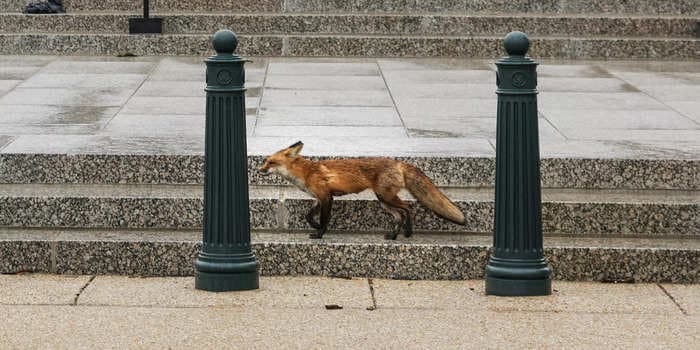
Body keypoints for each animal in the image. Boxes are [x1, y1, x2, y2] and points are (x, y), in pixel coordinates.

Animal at [258, 141, 464, 239]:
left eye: (270, 162)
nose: (259, 170)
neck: (306, 173)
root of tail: (399, 162)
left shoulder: (326, 197)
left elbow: (324, 219)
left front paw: (319, 234)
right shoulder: (318, 198)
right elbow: (308, 216)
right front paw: (315, 226)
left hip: (386, 197)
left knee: (408, 208)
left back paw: (407, 232)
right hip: (384, 200)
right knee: (400, 215)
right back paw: (393, 235)